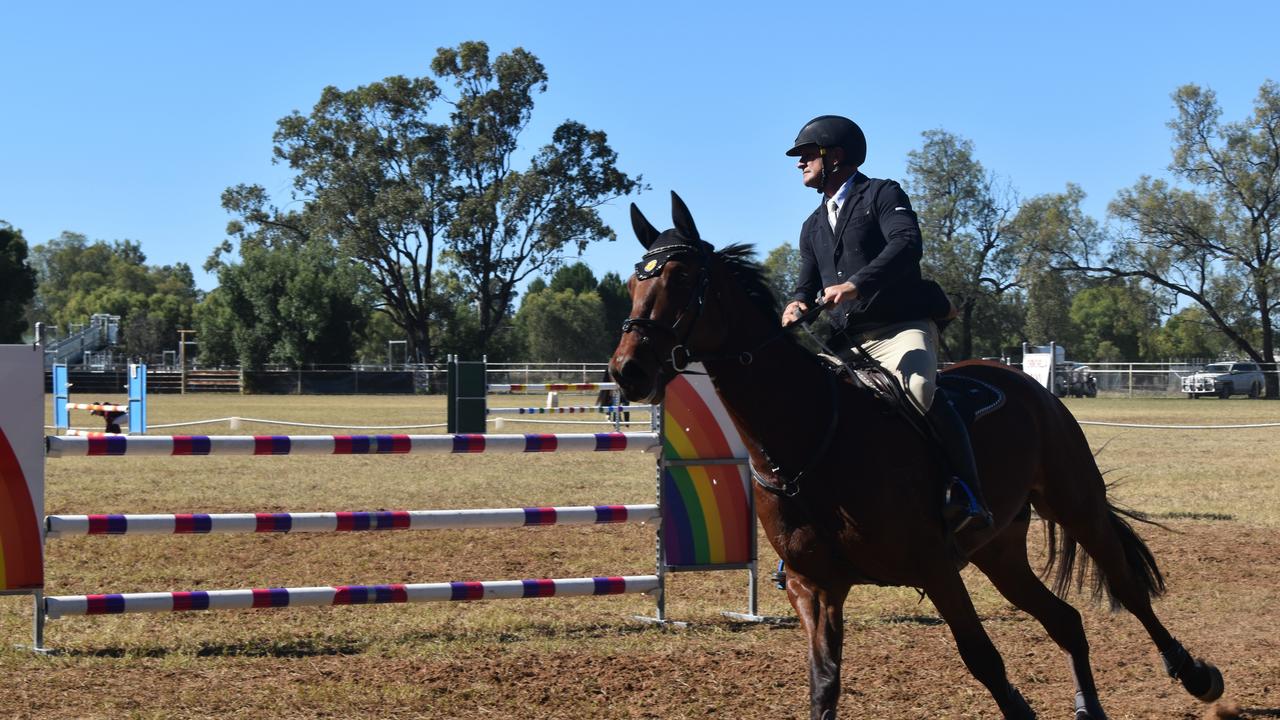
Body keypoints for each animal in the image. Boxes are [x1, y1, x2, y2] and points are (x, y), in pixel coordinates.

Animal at [604, 192, 1223, 717]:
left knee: (1128, 590)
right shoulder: (815, 586)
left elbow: (984, 660)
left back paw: (1196, 676)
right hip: (998, 550)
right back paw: (1088, 708)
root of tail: (1031, 385)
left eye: (683, 278)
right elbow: (824, 684)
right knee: (1065, 620)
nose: (627, 370)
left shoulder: (934, 565)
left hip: (1077, 507)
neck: (810, 438)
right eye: (635, 280)